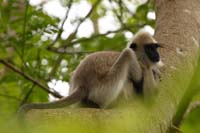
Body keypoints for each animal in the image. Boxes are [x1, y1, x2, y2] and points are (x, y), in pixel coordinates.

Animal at [18, 31, 163, 114]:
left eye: (155, 48)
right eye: (150, 49)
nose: (157, 55)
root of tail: (81, 84)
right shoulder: (142, 65)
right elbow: (150, 99)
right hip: (104, 89)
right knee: (127, 55)